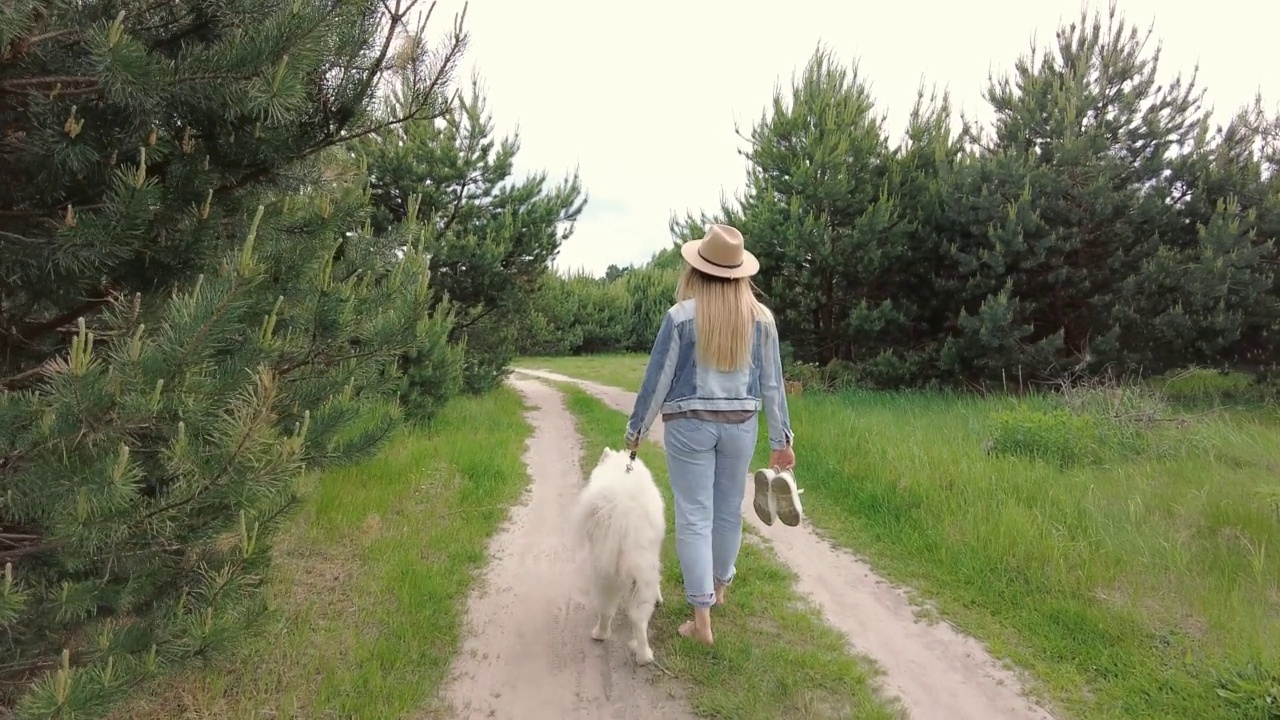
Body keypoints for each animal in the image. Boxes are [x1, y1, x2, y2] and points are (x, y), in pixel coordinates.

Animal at [573, 445, 665, 666]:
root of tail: (621, 511)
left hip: (602, 572)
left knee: (606, 610)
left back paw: (600, 634)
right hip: (640, 573)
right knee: (639, 620)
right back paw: (644, 656)